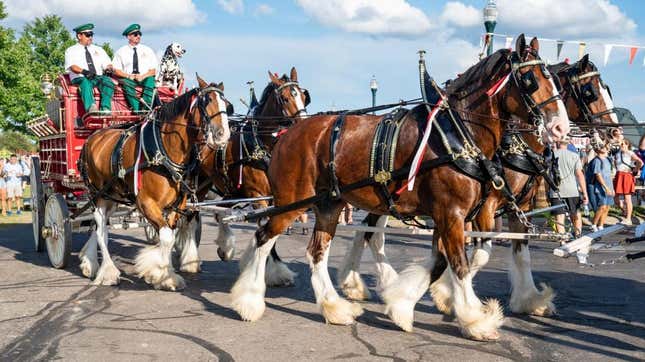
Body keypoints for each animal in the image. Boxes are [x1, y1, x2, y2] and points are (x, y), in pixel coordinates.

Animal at [77, 75, 231, 290]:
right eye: (206, 101)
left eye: (227, 105)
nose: (223, 135)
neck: (163, 151)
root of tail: (92, 137)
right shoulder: (146, 203)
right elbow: (166, 236)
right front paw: (160, 272)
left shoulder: (176, 205)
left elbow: (170, 236)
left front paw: (165, 274)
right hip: (97, 196)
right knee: (101, 231)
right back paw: (107, 272)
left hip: (111, 197)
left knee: (98, 227)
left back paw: (89, 262)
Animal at [230, 35, 568, 340]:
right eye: (529, 79)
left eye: (554, 80)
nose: (561, 127)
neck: (456, 133)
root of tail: (287, 133)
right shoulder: (453, 213)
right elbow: (458, 264)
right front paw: (474, 319)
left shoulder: (451, 214)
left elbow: (444, 261)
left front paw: (403, 303)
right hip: (293, 201)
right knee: (264, 237)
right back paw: (250, 300)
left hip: (329, 204)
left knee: (316, 251)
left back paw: (334, 307)